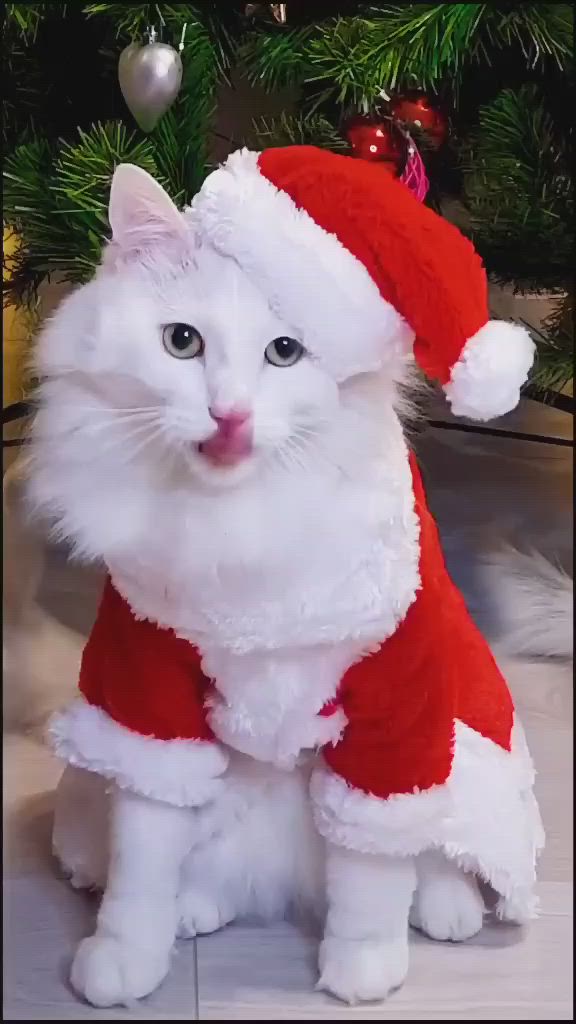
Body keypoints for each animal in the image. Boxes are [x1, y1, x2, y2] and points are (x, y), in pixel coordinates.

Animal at [30, 153, 541, 1007]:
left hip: (462, 754)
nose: (229, 415)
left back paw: (447, 910)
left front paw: (363, 968)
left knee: (435, 853)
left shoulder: (390, 718)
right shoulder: (148, 699)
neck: (238, 529)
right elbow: (141, 864)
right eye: (182, 343)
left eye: (284, 354)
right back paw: (199, 908)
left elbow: (371, 877)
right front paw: (126, 958)